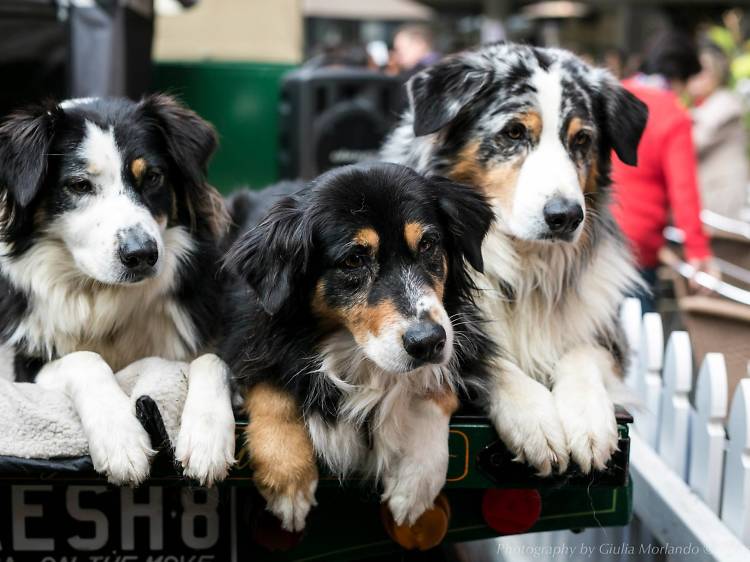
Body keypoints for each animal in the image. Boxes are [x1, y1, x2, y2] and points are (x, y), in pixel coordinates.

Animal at [0, 94, 235, 484]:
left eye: (152, 177)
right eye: (79, 185)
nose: (141, 255)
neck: (104, 296)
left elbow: (213, 359)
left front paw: (207, 439)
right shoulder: (28, 363)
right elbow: (84, 358)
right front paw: (121, 439)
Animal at [220, 163, 496, 528]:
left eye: (428, 244)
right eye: (353, 260)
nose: (427, 342)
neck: (356, 354)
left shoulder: (459, 341)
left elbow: (437, 386)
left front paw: (415, 477)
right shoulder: (249, 342)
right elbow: (272, 389)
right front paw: (288, 478)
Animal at [384, 42, 648, 472]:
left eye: (582, 139)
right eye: (513, 132)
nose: (565, 216)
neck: (526, 264)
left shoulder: (612, 340)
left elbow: (581, 352)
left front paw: (589, 418)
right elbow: (489, 359)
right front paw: (535, 418)